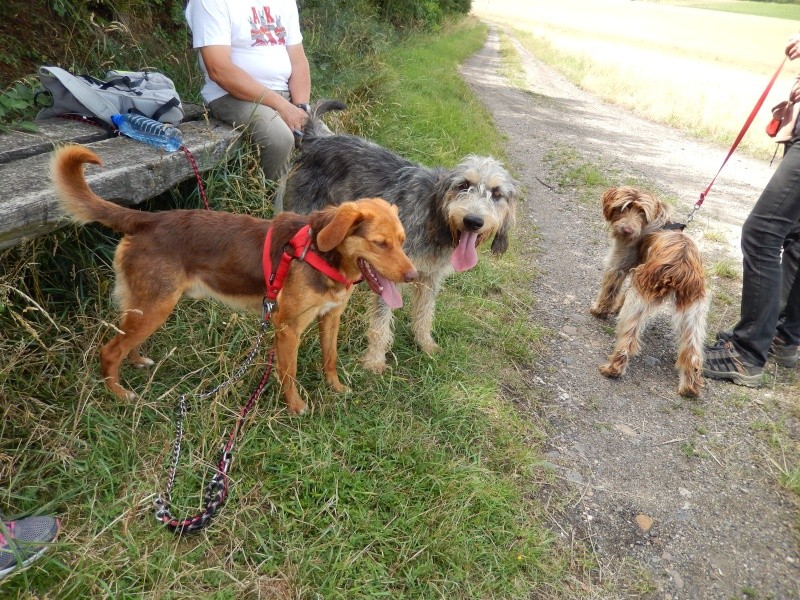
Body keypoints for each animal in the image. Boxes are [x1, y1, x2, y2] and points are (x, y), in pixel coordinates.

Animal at [51, 146, 418, 418]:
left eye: (403, 241)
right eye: (380, 244)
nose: (414, 276)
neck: (320, 252)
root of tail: (146, 219)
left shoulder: (330, 318)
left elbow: (329, 359)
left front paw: (336, 388)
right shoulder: (288, 328)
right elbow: (289, 373)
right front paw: (296, 406)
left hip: (147, 306)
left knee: (125, 341)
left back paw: (138, 361)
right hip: (156, 306)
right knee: (109, 350)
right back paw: (119, 393)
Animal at [282, 99, 520, 370]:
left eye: (497, 193)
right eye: (463, 185)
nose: (473, 221)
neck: (435, 217)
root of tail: (319, 139)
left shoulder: (430, 278)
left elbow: (425, 314)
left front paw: (426, 344)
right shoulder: (390, 272)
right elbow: (381, 322)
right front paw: (374, 361)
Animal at [588, 185, 708, 396]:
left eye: (642, 212)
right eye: (624, 207)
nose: (627, 230)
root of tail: (681, 266)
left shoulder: (619, 265)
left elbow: (609, 291)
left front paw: (599, 310)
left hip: (639, 300)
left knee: (628, 340)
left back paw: (613, 368)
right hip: (693, 312)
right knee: (692, 353)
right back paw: (689, 388)